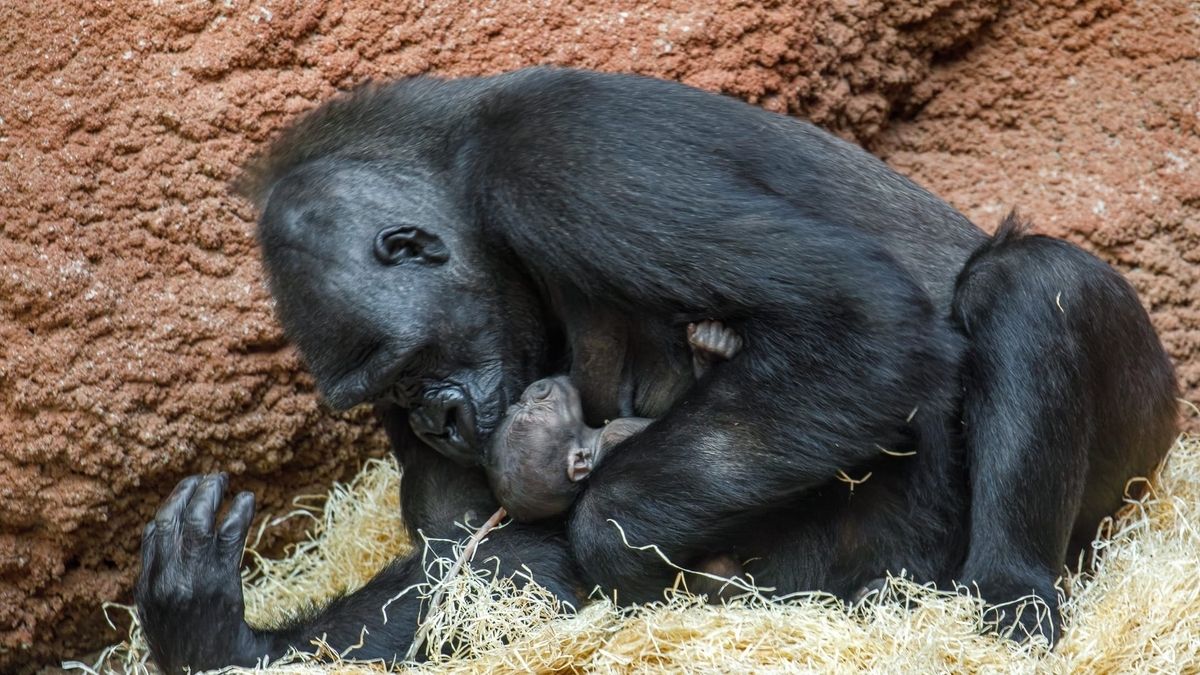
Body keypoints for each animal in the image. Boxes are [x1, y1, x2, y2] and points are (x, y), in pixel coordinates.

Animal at [484, 319, 739, 521]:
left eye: (521, 408)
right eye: (532, 414)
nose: (535, 390)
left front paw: (707, 352)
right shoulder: (617, 430)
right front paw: (709, 355)